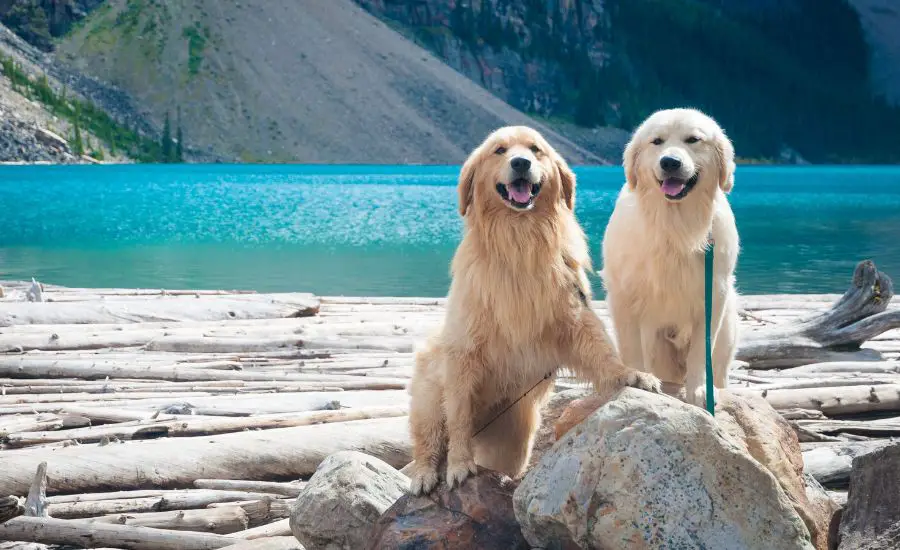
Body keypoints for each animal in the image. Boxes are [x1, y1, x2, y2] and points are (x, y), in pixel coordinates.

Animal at [408, 125, 660, 496]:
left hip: (515, 441)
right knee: (429, 439)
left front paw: (632, 374)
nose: (521, 163)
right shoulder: (464, 350)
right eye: (499, 151)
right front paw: (459, 464)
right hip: (428, 393)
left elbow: (602, 351)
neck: (520, 237)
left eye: (535, 149)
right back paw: (426, 473)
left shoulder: (573, 314)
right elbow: (459, 417)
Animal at [604, 109, 740, 410]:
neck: (674, 225)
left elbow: (701, 350)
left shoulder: (713, 293)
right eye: (657, 141)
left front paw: (700, 390)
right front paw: (639, 380)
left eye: (693, 140)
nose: (670, 162)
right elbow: (631, 347)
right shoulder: (623, 295)